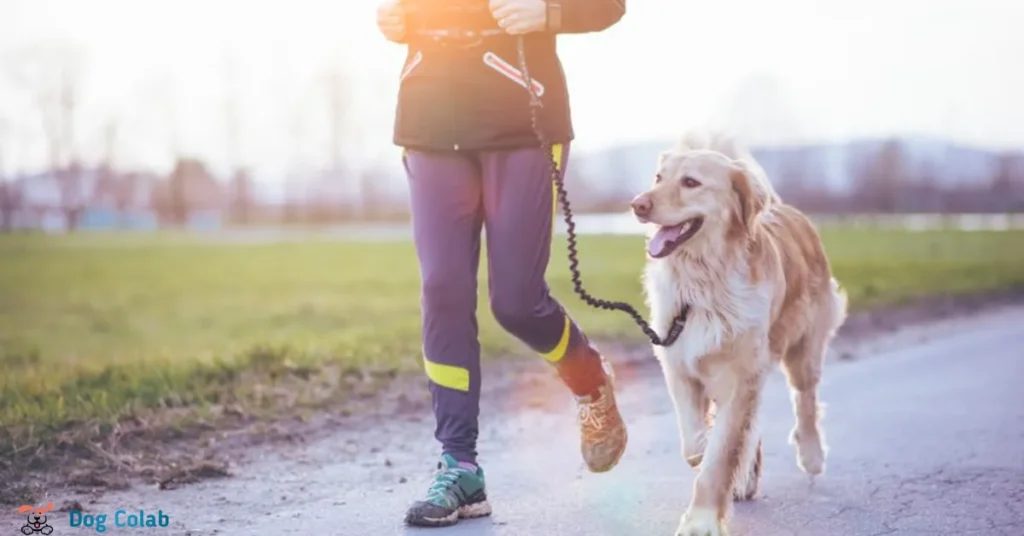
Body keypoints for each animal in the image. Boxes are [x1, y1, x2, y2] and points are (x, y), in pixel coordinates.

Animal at [630, 131, 847, 536]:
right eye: (657, 178)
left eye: (690, 182)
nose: (638, 204)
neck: (703, 281)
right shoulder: (678, 362)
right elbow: (694, 441)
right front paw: (705, 449)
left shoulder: (739, 373)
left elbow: (720, 455)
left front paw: (701, 520)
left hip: (804, 349)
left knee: (806, 400)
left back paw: (811, 455)